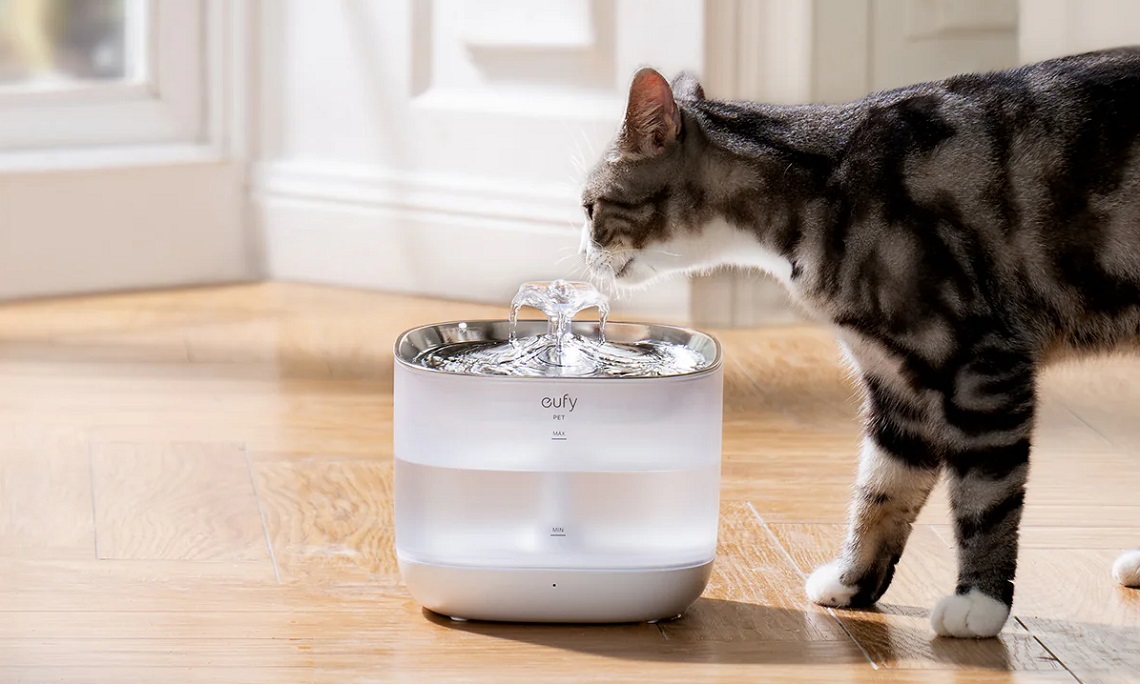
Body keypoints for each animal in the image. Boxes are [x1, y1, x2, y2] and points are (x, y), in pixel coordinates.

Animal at [579, 49, 1140, 642]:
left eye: (590, 207)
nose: (583, 251)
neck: (821, 194)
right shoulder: (896, 382)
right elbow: (881, 489)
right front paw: (854, 582)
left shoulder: (983, 365)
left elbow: (986, 495)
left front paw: (980, 602)